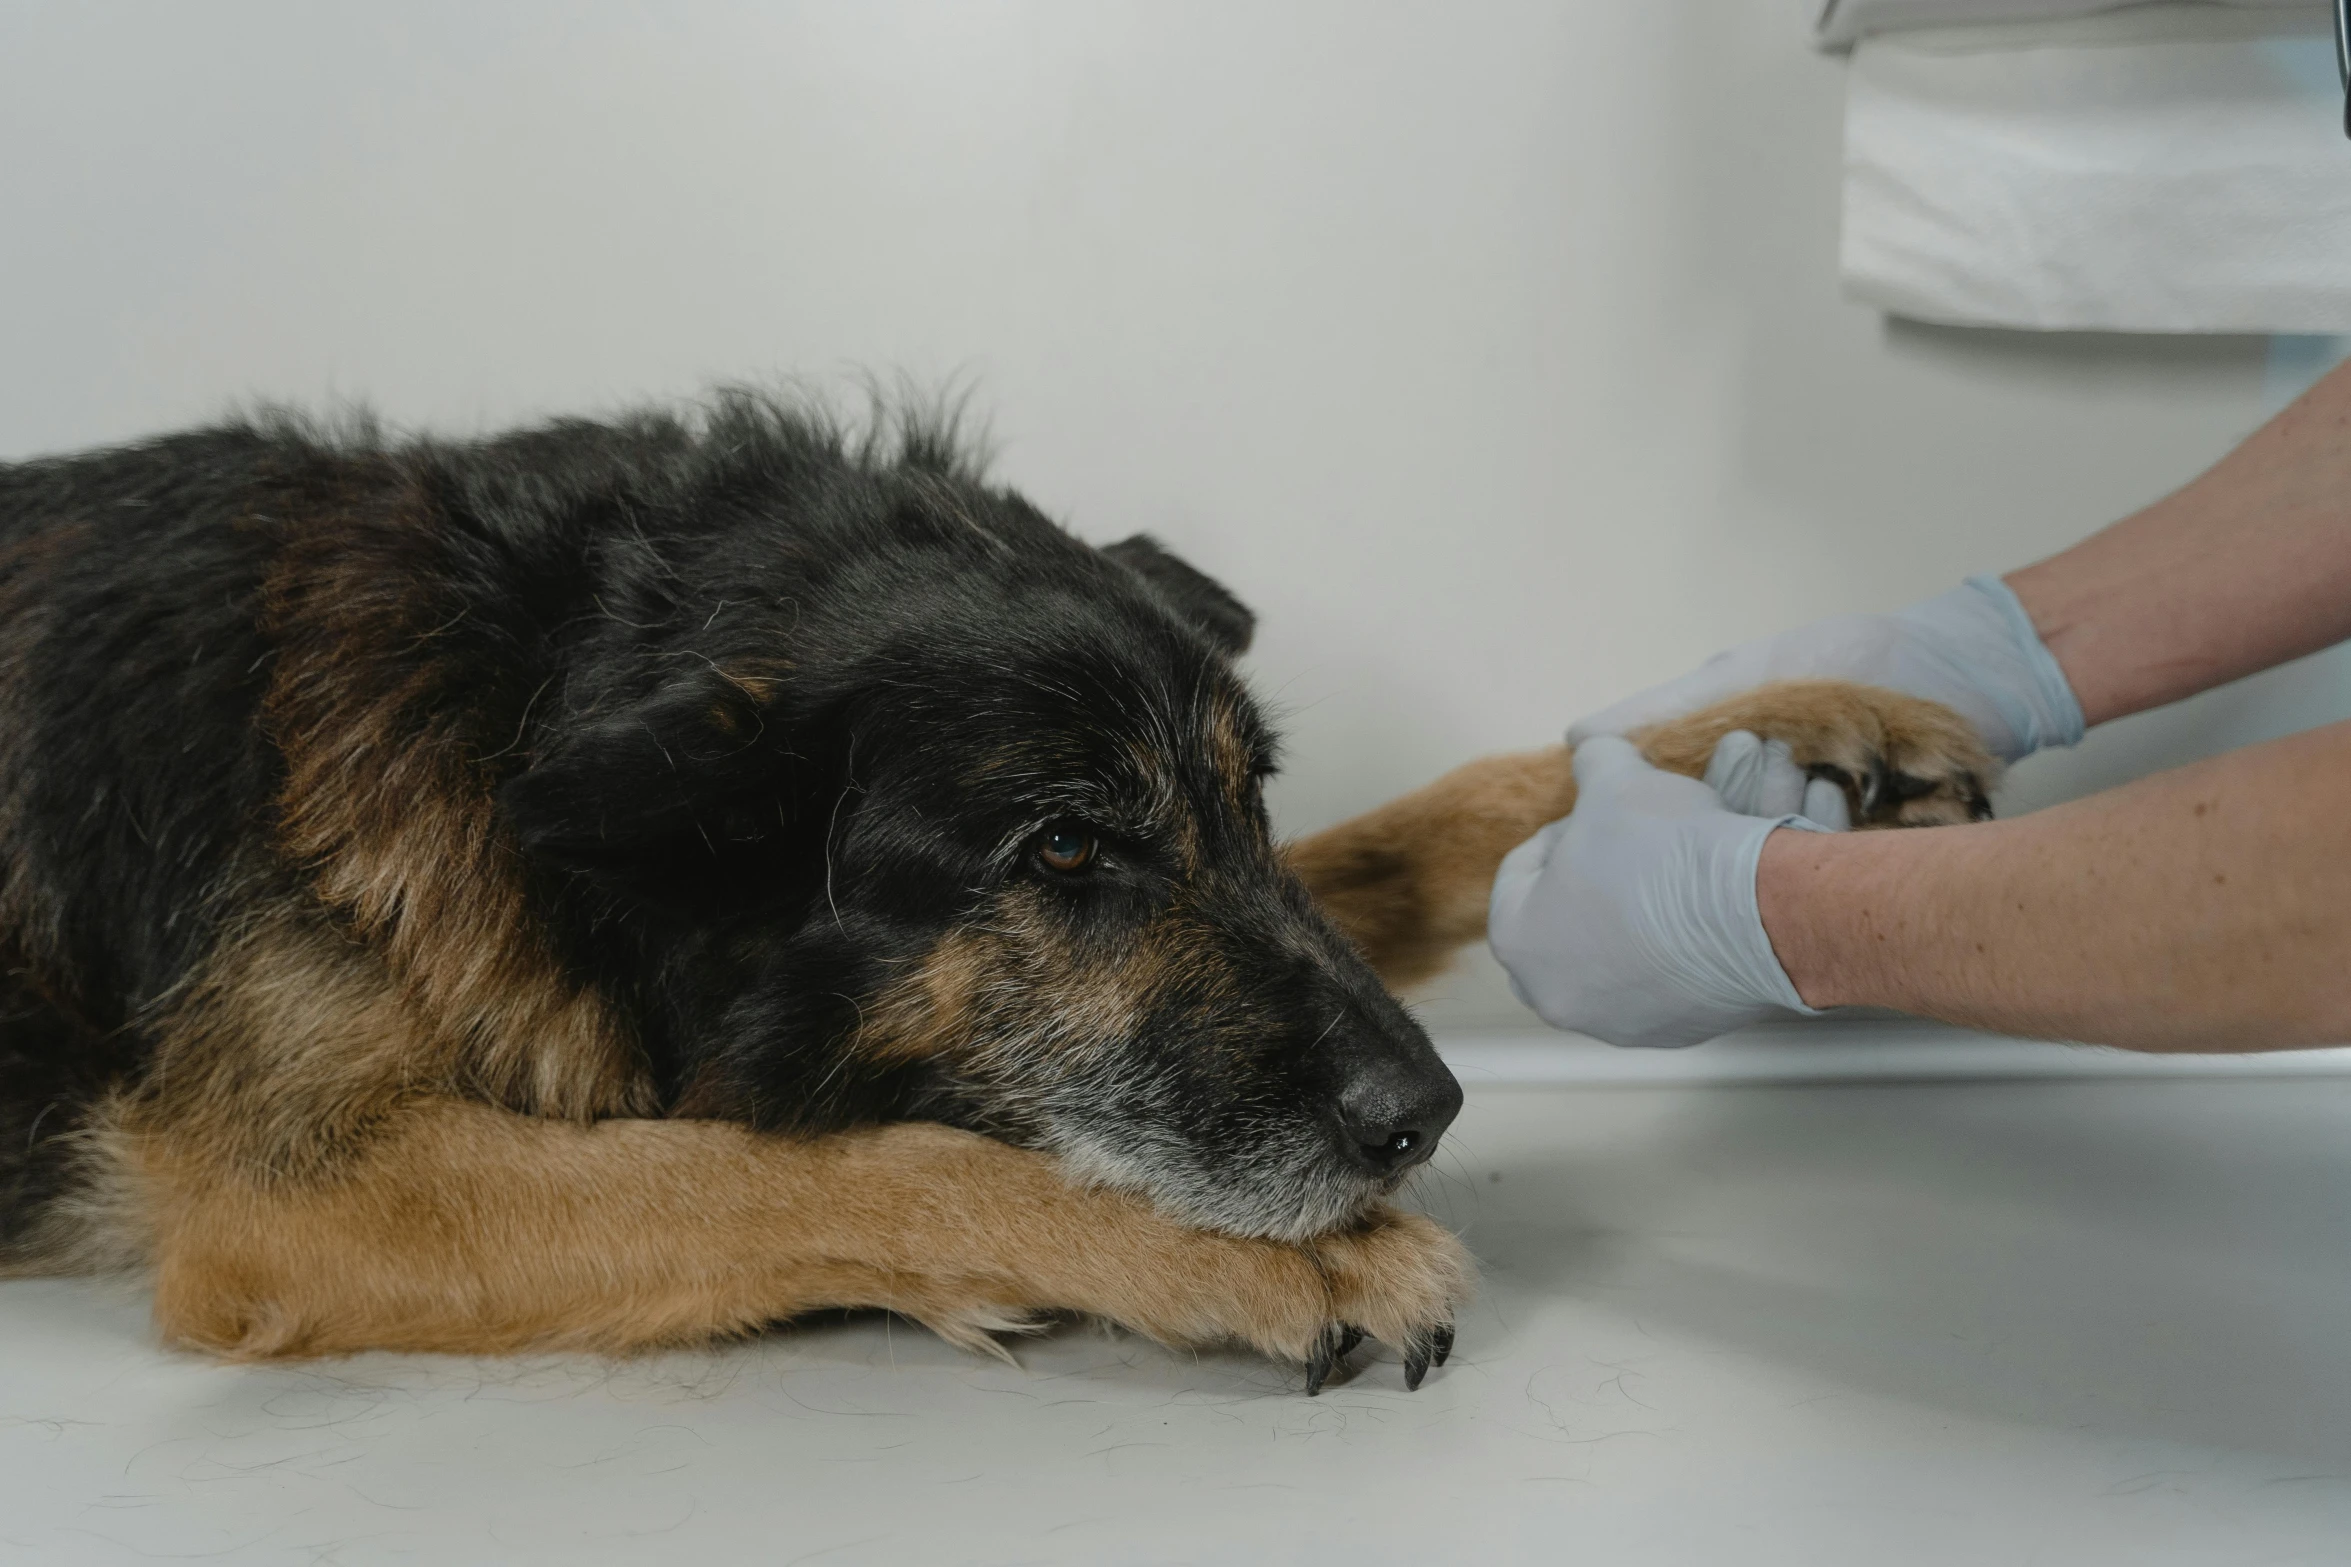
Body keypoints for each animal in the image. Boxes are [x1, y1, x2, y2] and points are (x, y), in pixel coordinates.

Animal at [0, 399, 2003, 1390]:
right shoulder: (300, 1197)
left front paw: (1783, 726)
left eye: (1243, 799)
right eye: (1057, 850)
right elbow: (787, 1169)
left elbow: (1422, 828)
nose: (1424, 1113)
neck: (521, 685)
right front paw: (1253, 1260)